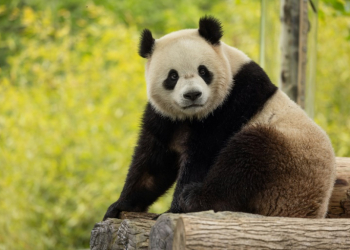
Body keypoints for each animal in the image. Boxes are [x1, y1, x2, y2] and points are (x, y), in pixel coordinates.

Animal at [103, 15, 336, 220]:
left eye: (203, 71)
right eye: (173, 76)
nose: (192, 95)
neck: (192, 116)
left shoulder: (231, 104)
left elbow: (203, 156)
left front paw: (174, 209)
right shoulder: (165, 118)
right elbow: (153, 163)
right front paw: (119, 206)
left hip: (288, 167)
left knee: (246, 158)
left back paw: (195, 198)